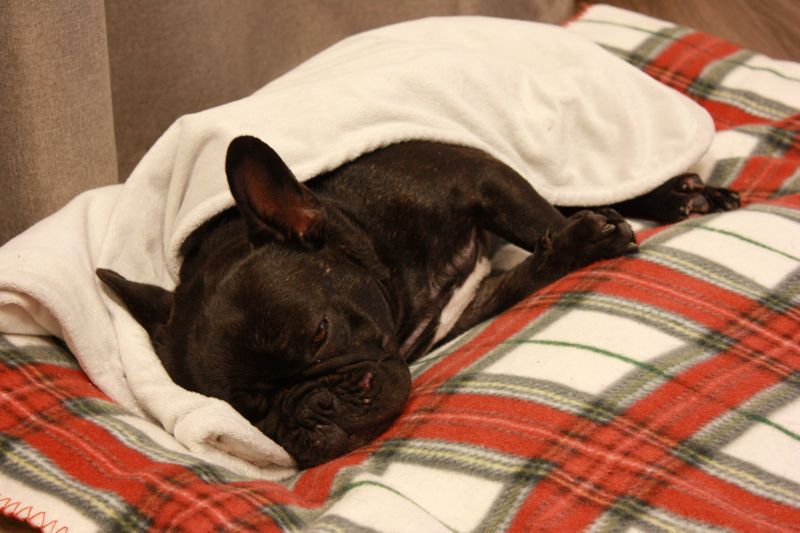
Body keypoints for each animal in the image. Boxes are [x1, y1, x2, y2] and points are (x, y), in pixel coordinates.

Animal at [97, 137, 739, 467]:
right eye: (248, 412)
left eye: (320, 334)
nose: (313, 410)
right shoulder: (466, 309)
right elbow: (525, 271)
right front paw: (571, 247)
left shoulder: (479, 174)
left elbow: (540, 220)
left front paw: (587, 237)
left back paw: (677, 196)